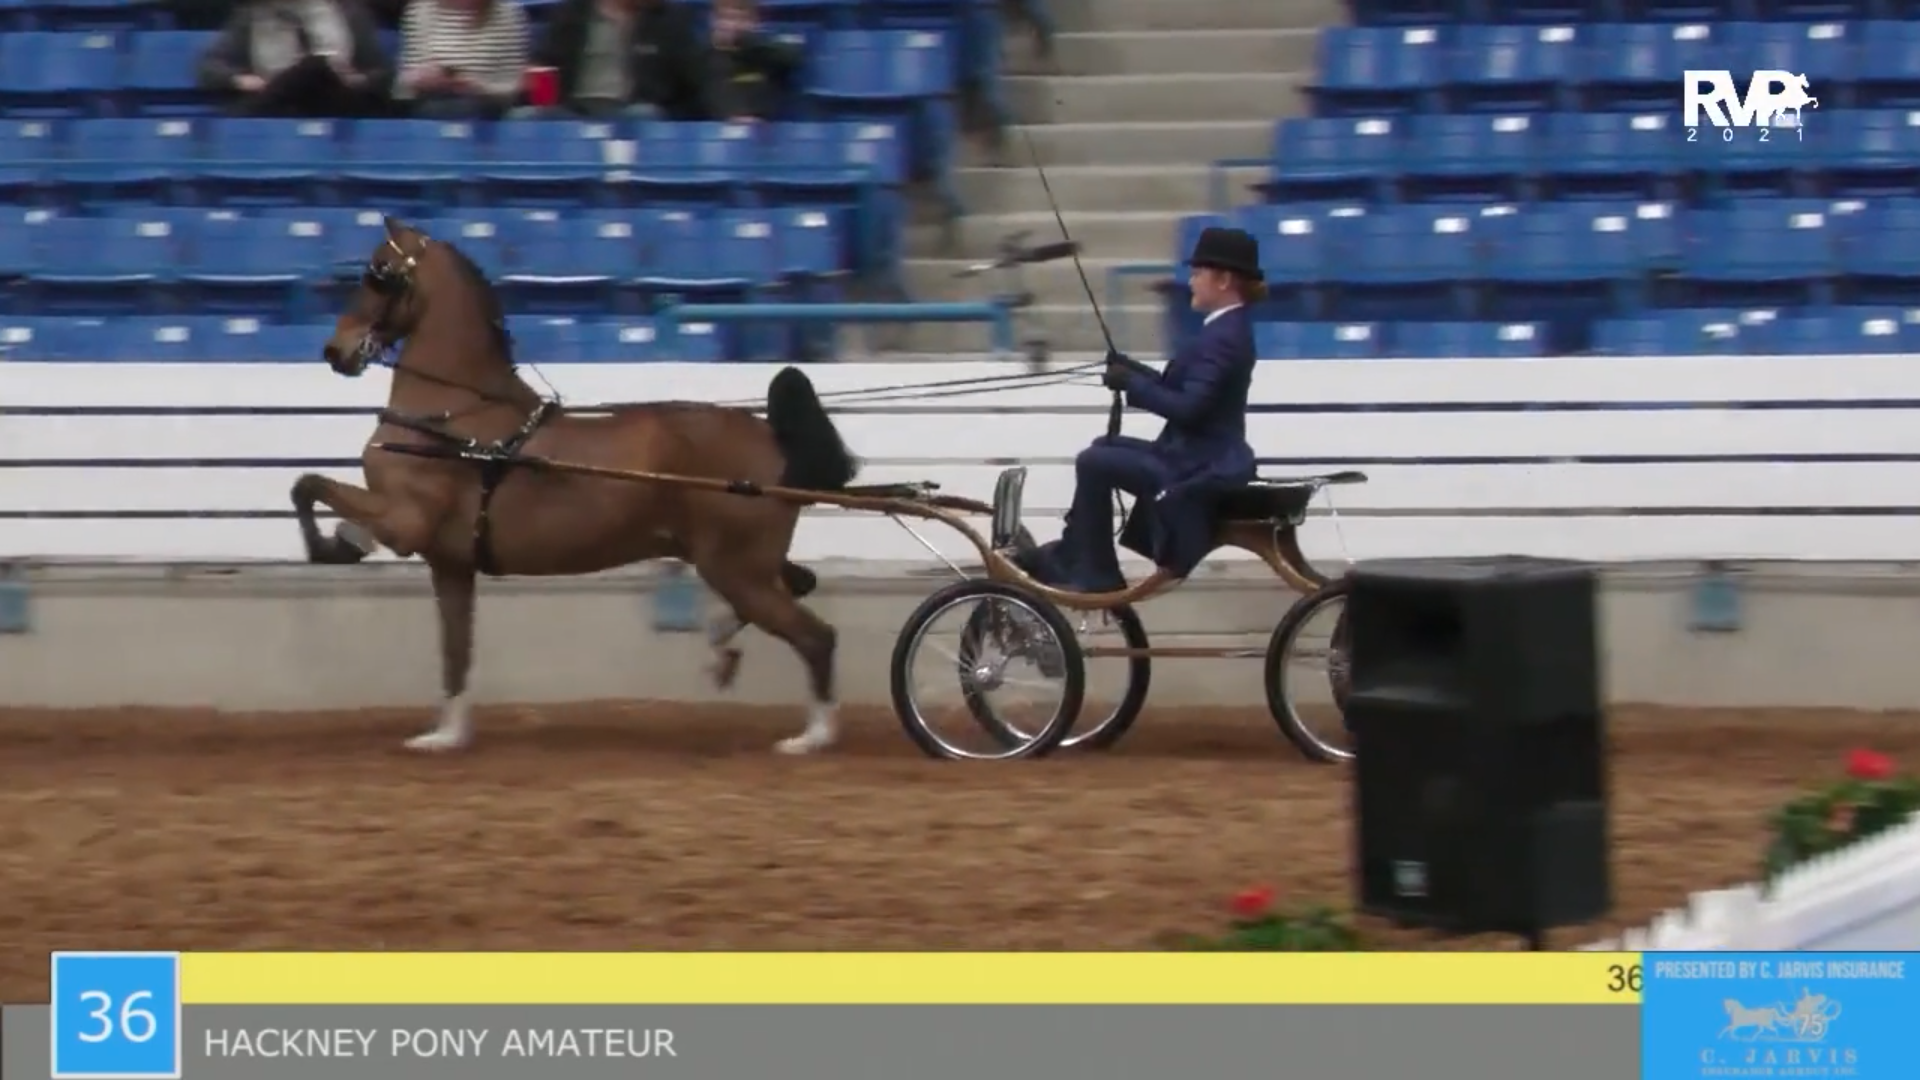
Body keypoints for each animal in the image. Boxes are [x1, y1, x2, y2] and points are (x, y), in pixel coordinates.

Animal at [292, 216, 860, 755]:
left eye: (379, 272)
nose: (334, 350)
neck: (456, 419)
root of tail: (772, 436)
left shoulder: (404, 524)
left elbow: (308, 484)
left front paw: (328, 546)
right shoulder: (450, 563)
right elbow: (456, 650)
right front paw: (447, 735)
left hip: (736, 568)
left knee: (818, 637)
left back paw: (813, 736)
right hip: (746, 565)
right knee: (800, 587)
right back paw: (724, 644)